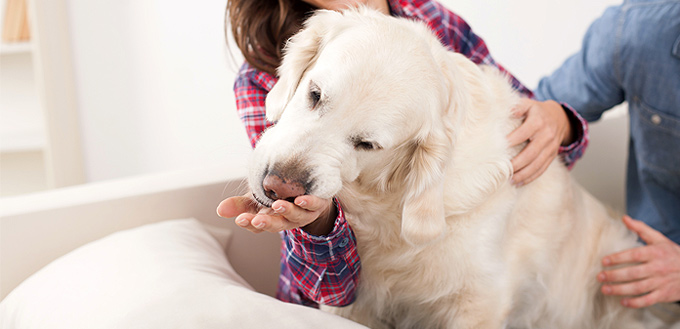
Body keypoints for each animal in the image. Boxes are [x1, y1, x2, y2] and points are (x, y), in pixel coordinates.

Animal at [251, 7, 648, 328]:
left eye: (367, 145)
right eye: (315, 95)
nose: (280, 186)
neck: (389, 207)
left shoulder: (480, 300)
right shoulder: (352, 300)